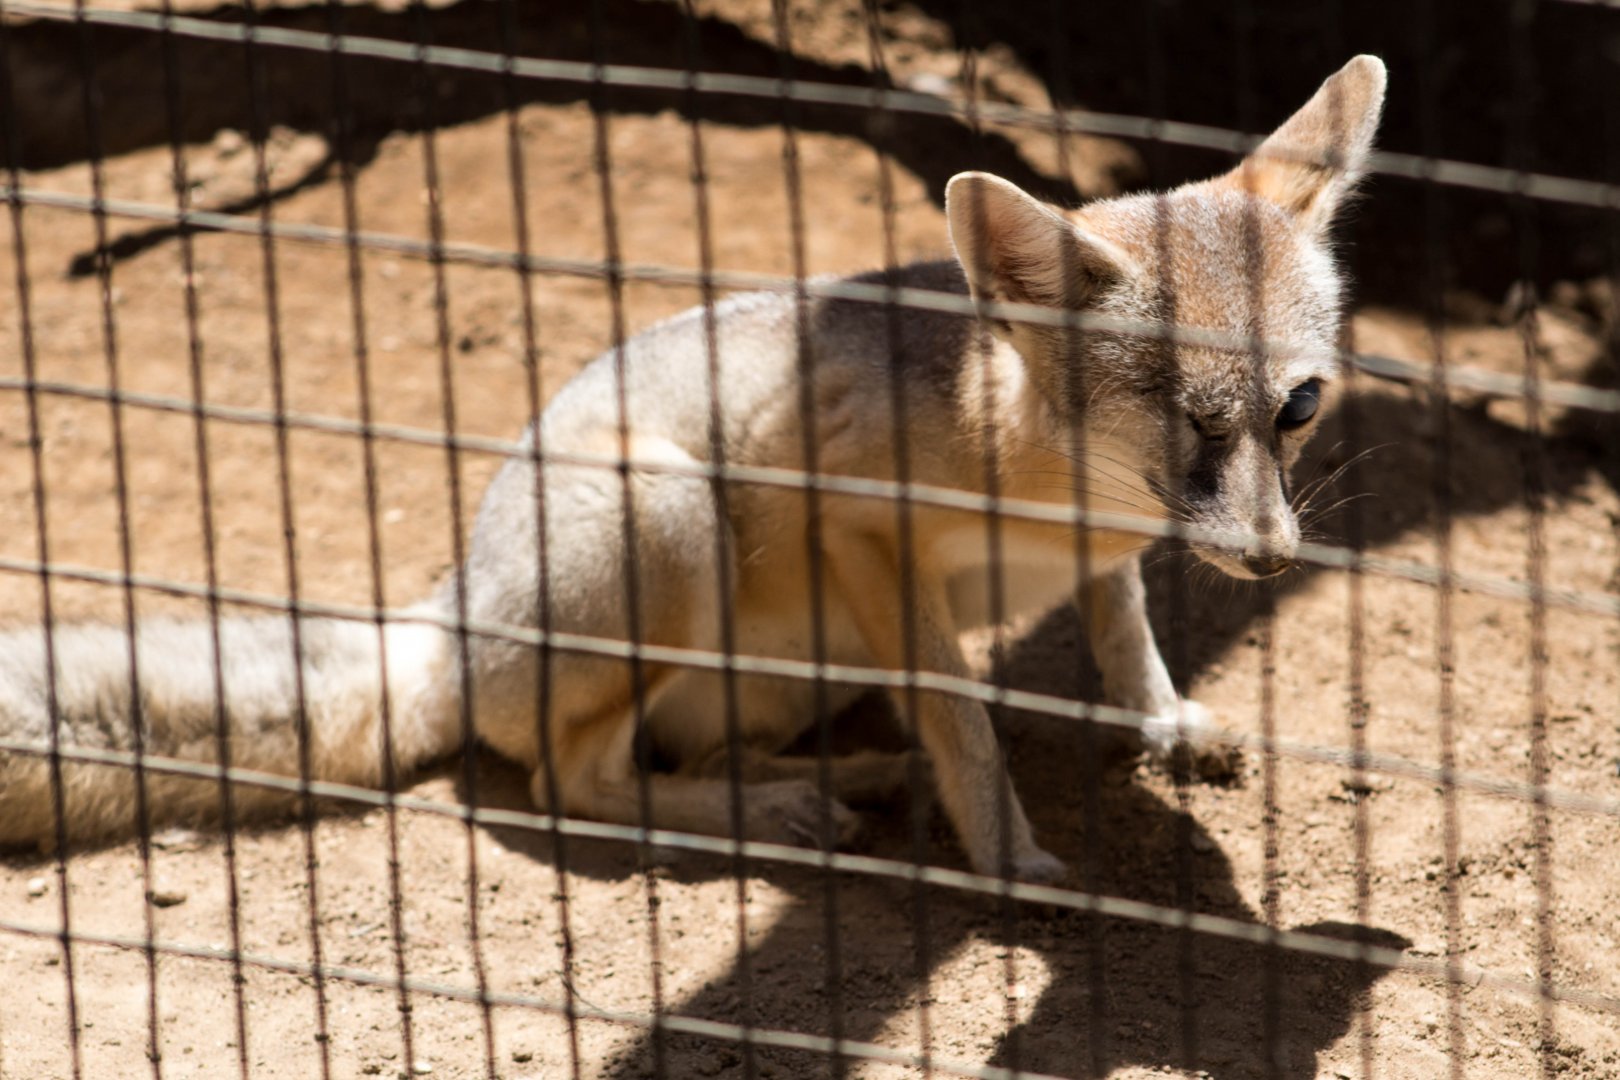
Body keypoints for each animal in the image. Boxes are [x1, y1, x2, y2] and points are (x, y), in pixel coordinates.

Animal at [0, 57, 1384, 883]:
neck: (1052, 487)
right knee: (579, 783)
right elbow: (963, 716)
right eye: (1187, 427)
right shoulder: (864, 529)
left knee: (678, 759)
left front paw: (1163, 720)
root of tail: (451, 619)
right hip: (669, 520)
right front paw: (1009, 857)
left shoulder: (1105, 562)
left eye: (1298, 408)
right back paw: (781, 813)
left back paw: (834, 782)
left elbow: (1122, 631)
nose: (1274, 560)